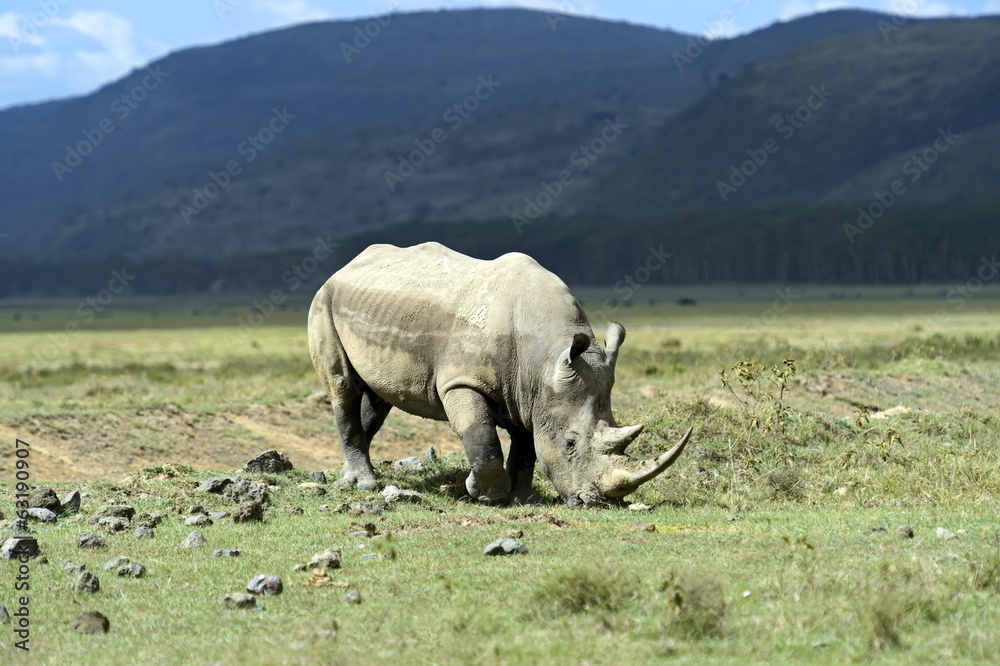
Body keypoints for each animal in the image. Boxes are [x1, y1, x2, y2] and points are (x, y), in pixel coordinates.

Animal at [307, 242, 691, 506]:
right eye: (570, 444)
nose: (597, 501)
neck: (546, 356)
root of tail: (344, 267)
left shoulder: (530, 393)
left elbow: (526, 448)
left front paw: (523, 499)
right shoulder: (462, 381)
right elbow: (482, 437)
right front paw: (484, 494)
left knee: (377, 400)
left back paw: (351, 475)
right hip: (324, 300)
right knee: (343, 387)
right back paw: (365, 483)